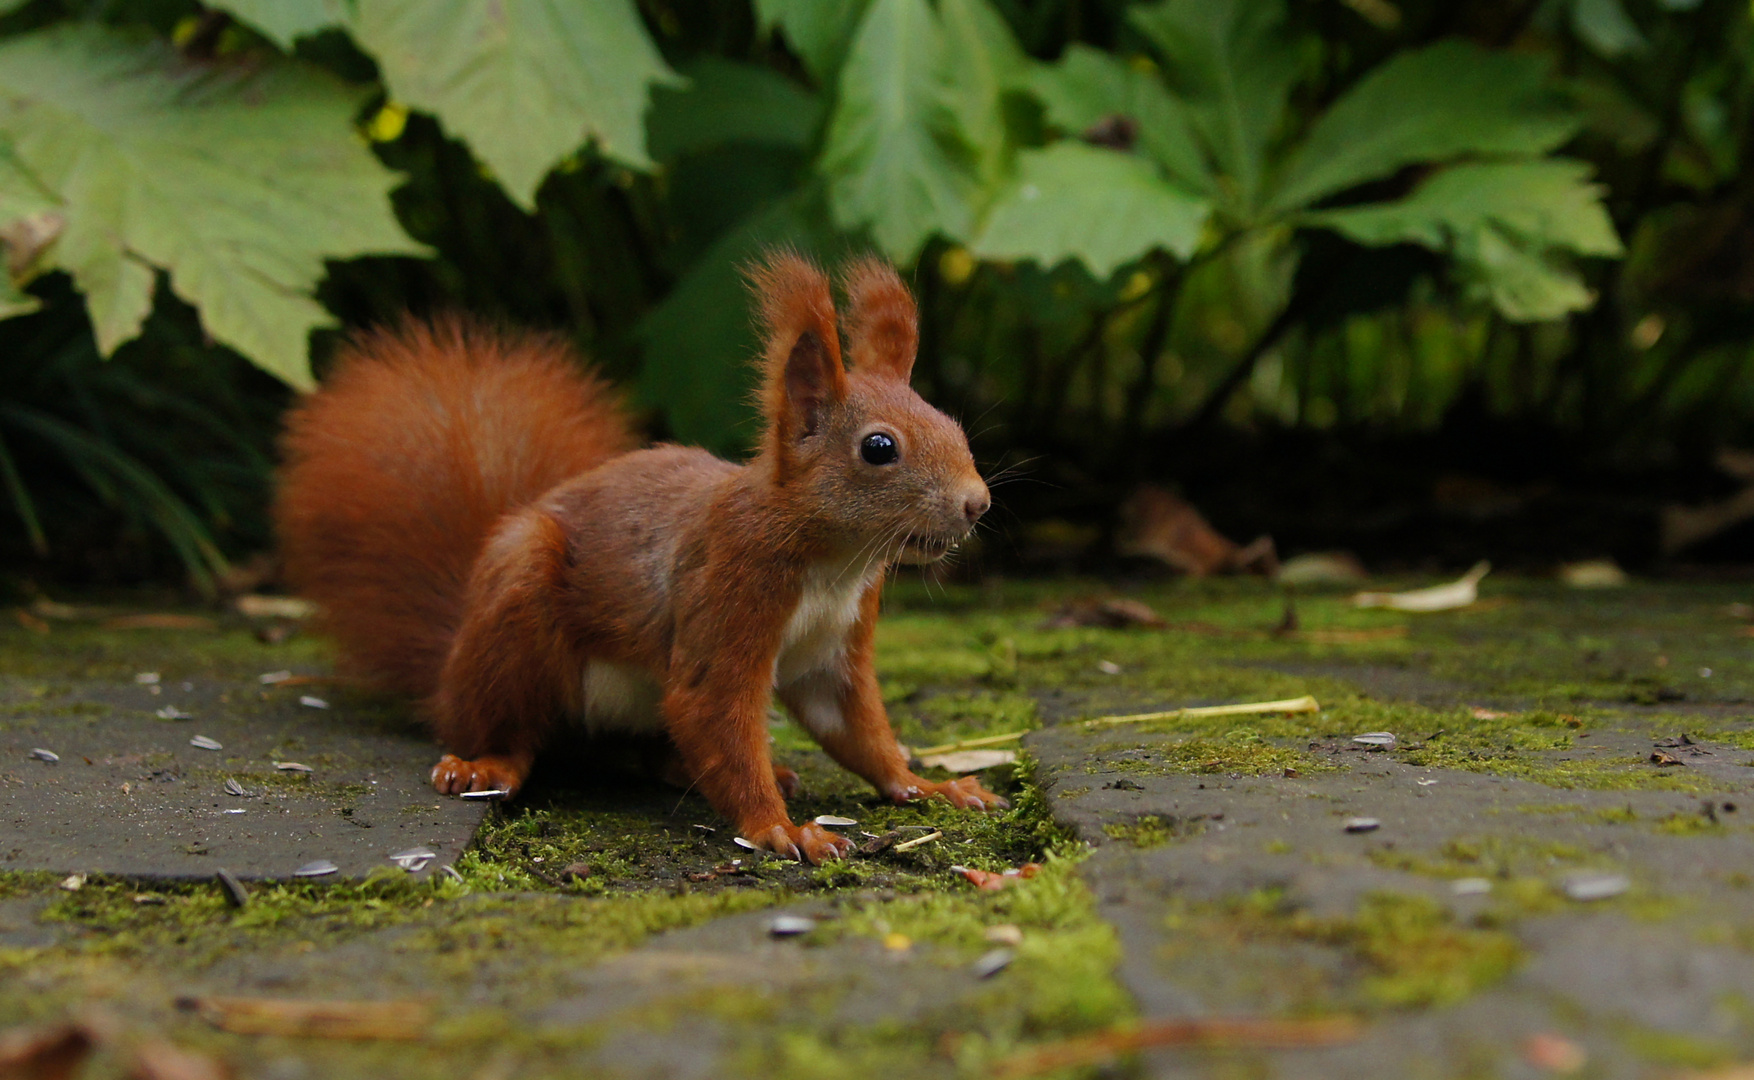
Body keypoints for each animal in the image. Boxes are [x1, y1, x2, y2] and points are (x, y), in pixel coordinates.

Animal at [278, 250, 1010, 859]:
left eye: (950, 423)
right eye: (879, 448)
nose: (977, 504)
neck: (834, 562)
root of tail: (447, 670)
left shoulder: (836, 649)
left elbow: (858, 731)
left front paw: (929, 786)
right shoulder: (730, 585)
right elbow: (710, 706)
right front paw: (779, 828)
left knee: (658, 753)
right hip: (517, 609)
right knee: (509, 727)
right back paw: (486, 763)